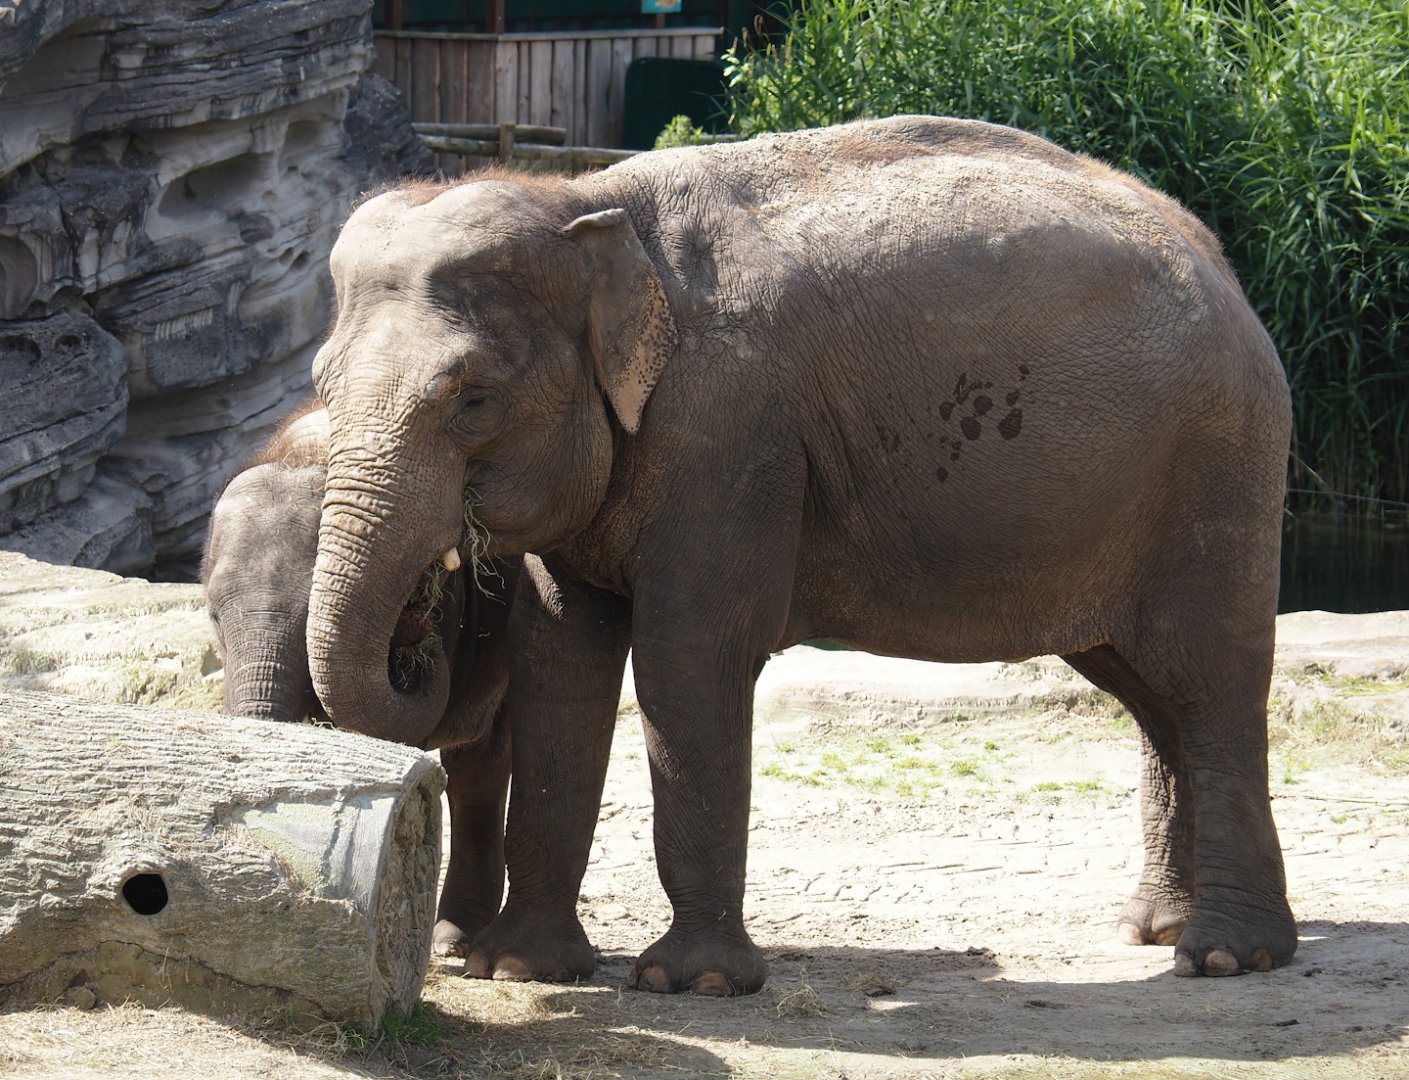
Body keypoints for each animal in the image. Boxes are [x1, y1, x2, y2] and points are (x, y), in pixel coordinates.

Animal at [305, 115, 1296, 995]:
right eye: (318, 381)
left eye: (470, 399)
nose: (421, 621)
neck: (584, 204)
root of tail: (1219, 259)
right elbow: (559, 659)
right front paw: (517, 968)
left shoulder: (729, 435)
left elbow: (686, 662)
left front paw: (693, 984)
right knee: (1147, 691)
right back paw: (1155, 927)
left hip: (1219, 467)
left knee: (1208, 679)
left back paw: (1225, 957)